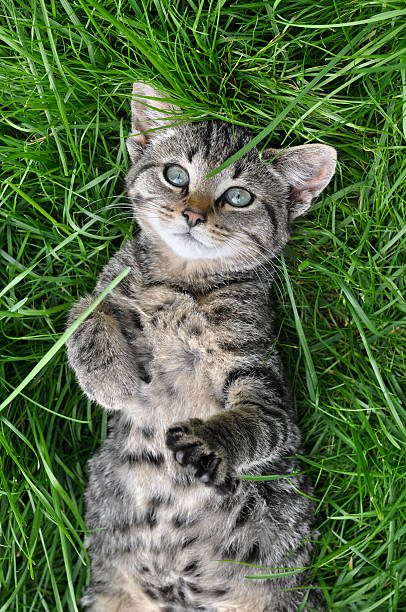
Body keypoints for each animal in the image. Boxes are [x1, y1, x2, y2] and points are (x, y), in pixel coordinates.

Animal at [65, 82, 334, 612]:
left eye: (237, 196)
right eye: (176, 175)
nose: (192, 214)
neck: (184, 282)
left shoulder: (261, 373)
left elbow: (260, 421)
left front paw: (213, 440)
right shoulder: (114, 286)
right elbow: (84, 313)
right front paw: (112, 380)